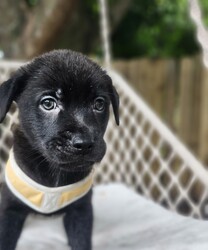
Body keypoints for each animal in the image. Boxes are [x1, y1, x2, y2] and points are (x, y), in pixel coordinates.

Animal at [0, 50, 118, 250]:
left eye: (99, 104)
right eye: (48, 103)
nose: (83, 143)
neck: (54, 172)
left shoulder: (80, 211)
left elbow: (81, 241)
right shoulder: (10, 210)